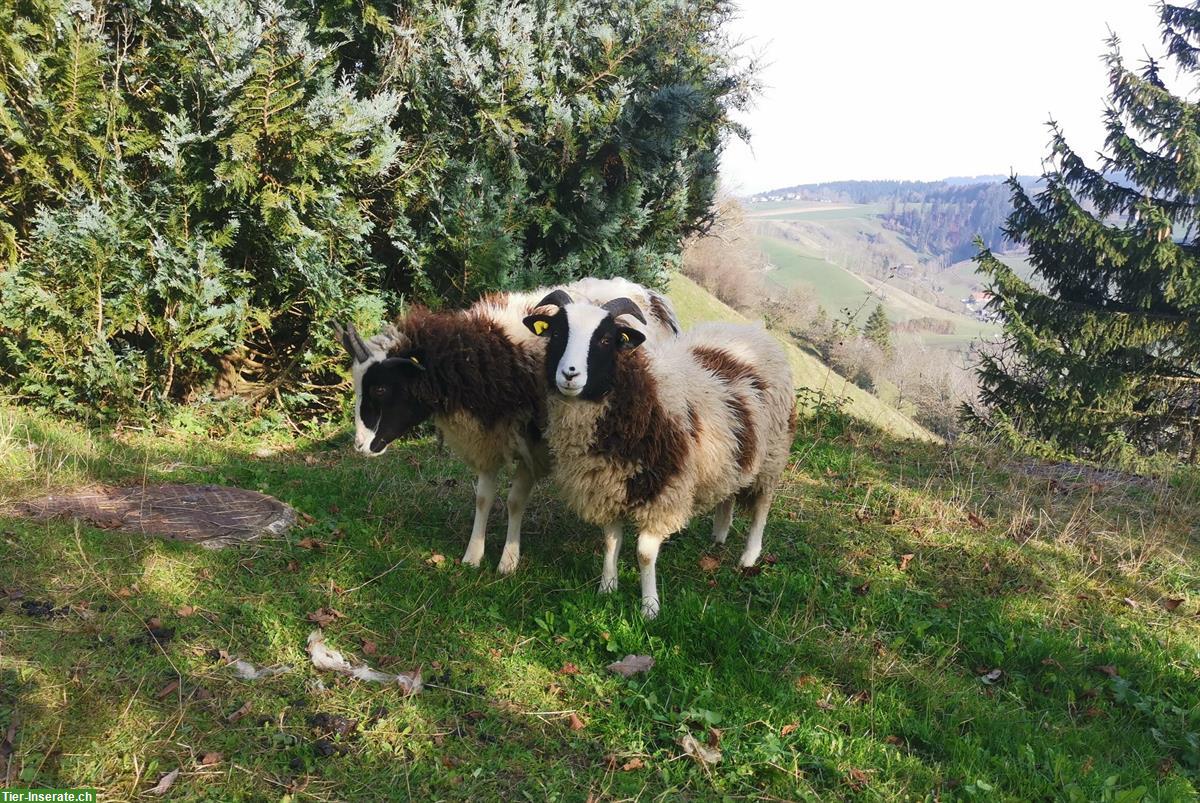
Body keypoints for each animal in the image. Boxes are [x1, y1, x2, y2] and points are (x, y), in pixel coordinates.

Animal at [333, 278, 681, 573]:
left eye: (381, 388)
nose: (360, 446)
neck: (491, 354)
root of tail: (649, 294)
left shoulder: (532, 447)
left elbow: (514, 502)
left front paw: (508, 561)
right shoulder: (489, 438)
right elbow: (483, 499)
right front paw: (473, 555)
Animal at [523, 297, 796, 619]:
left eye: (605, 340)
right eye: (556, 334)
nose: (570, 374)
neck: (643, 393)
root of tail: (753, 331)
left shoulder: (664, 491)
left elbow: (643, 554)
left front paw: (649, 607)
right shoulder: (606, 487)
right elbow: (611, 541)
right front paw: (607, 588)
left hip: (773, 454)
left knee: (762, 506)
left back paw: (749, 556)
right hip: (733, 453)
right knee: (729, 491)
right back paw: (719, 534)